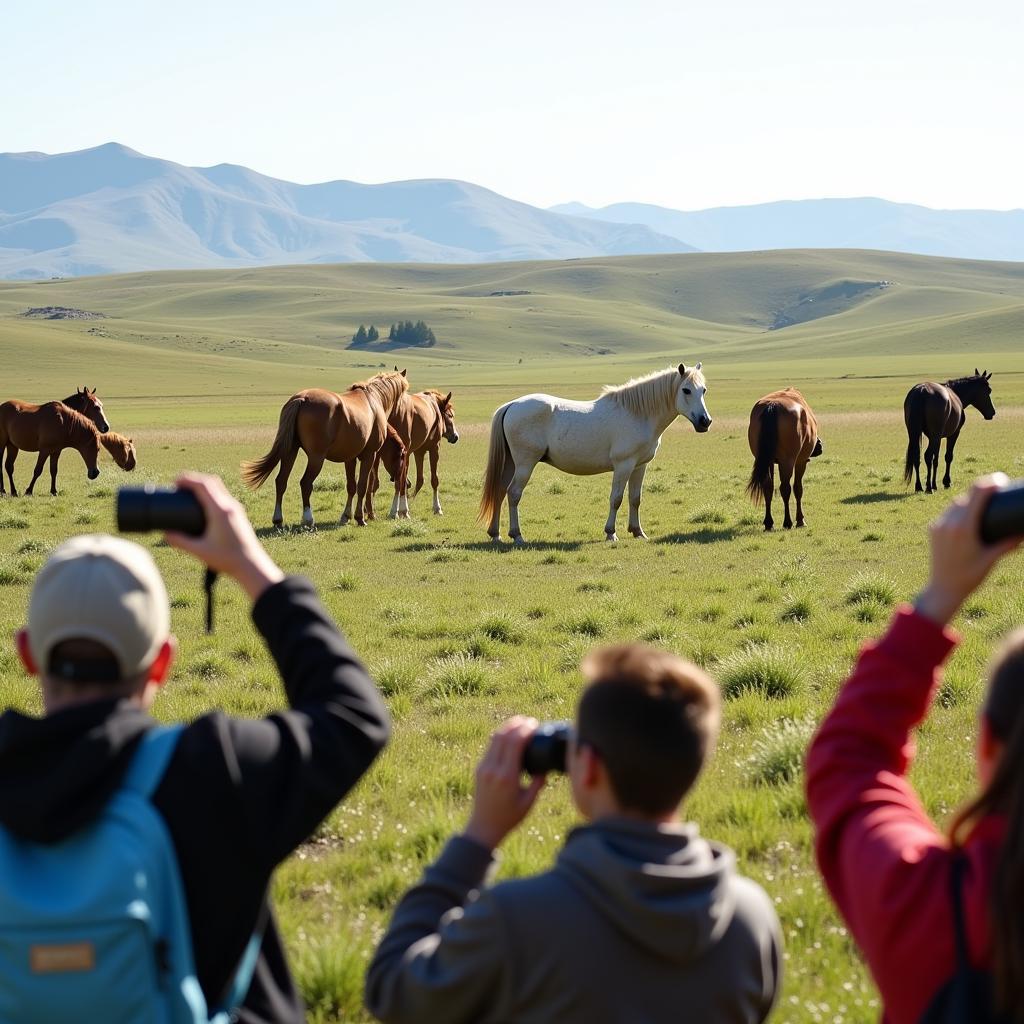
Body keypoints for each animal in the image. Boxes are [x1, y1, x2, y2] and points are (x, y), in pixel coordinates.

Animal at [0, 399, 136, 495]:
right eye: (96, 449)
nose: (95, 473)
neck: (63, 422)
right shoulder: (44, 450)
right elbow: (38, 470)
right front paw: (29, 491)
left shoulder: (56, 451)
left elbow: (54, 471)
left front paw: (53, 491)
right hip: (2, 444)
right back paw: (4, 491)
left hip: (12, 446)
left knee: (9, 467)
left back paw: (13, 492)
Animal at [241, 370, 409, 528]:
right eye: (402, 455)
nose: (403, 481)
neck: (373, 399)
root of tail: (302, 399)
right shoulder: (370, 455)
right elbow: (362, 486)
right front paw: (360, 518)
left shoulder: (350, 458)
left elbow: (351, 486)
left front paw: (346, 516)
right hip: (316, 458)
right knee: (305, 483)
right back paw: (308, 519)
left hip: (290, 451)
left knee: (281, 481)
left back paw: (278, 520)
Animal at [368, 389, 460, 520]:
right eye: (450, 416)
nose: (455, 436)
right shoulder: (434, 449)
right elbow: (434, 480)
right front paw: (437, 508)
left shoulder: (418, 452)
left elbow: (419, 480)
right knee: (398, 482)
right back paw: (395, 511)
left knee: (380, 482)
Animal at [479, 366, 712, 548]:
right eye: (686, 390)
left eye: (703, 390)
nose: (705, 421)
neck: (638, 413)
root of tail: (511, 405)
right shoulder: (623, 465)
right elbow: (616, 499)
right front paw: (611, 533)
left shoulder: (639, 466)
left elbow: (635, 499)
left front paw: (638, 532)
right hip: (525, 464)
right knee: (513, 494)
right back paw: (517, 535)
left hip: (511, 463)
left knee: (499, 491)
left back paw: (495, 534)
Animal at [745, 387, 823, 532]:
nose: (820, 445)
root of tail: (772, 405)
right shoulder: (801, 462)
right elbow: (798, 488)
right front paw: (800, 520)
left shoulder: (770, 462)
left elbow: (769, 488)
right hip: (787, 462)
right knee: (785, 488)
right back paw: (788, 521)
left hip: (766, 461)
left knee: (768, 487)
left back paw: (768, 522)